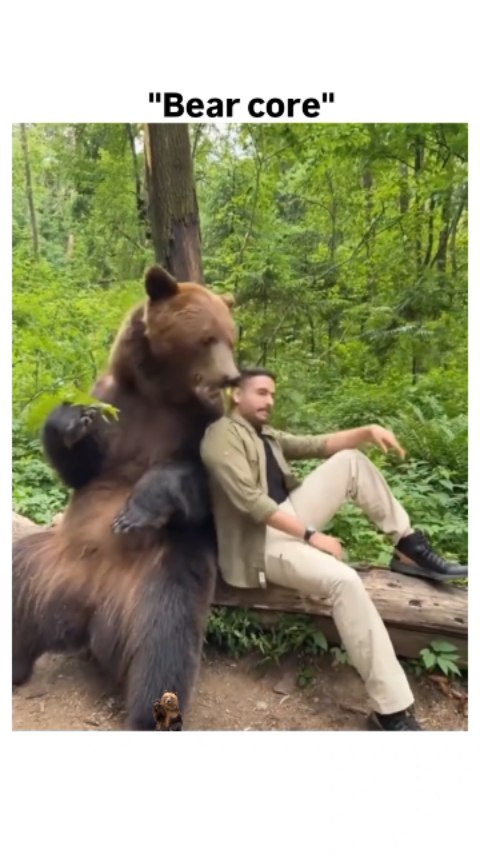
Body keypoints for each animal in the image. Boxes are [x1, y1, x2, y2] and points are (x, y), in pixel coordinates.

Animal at [12, 265, 239, 730]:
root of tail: (87, 604)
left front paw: (136, 510)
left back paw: (152, 716)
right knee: (16, 593)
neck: (160, 394)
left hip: (156, 580)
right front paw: (69, 419)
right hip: (44, 564)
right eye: (207, 337)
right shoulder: (116, 401)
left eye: (231, 337)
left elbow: (204, 481)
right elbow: (84, 465)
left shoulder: (201, 422)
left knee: (164, 648)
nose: (230, 378)